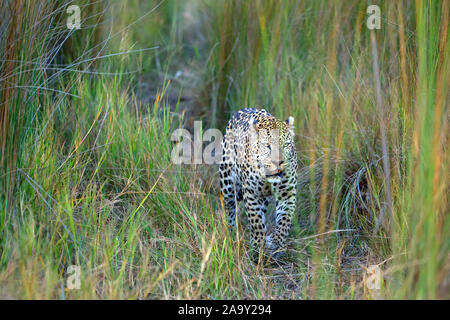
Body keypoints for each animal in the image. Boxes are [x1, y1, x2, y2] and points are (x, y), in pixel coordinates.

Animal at [219, 109, 298, 258]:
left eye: (286, 145)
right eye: (267, 145)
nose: (278, 162)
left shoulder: (287, 193)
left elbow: (285, 219)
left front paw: (277, 243)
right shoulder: (251, 193)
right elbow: (256, 221)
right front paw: (257, 246)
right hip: (227, 182)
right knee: (229, 207)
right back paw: (230, 233)